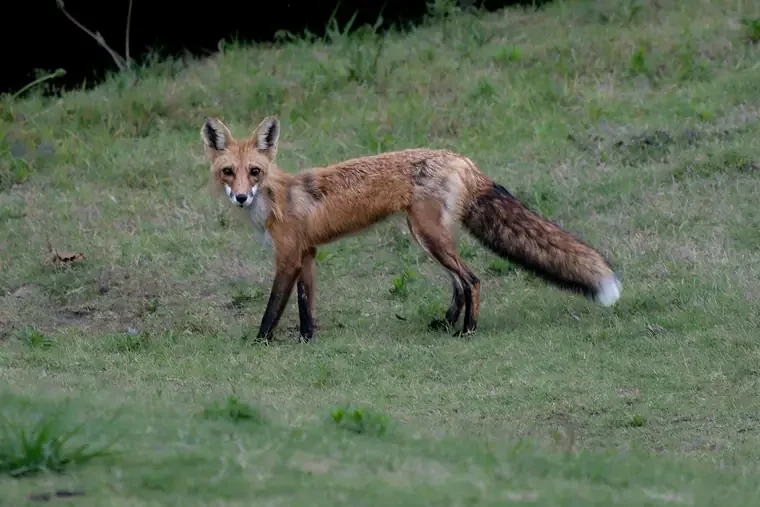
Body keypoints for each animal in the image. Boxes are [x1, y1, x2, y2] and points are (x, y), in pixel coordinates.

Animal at [201, 115, 622, 343]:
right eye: (229, 172)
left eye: (255, 171)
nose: (241, 197)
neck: (277, 197)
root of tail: (462, 159)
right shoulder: (308, 253)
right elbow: (306, 305)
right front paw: (307, 340)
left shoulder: (288, 256)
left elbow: (273, 308)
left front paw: (260, 343)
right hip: (426, 236)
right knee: (458, 283)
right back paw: (445, 324)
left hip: (428, 235)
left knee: (472, 280)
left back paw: (467, 332)